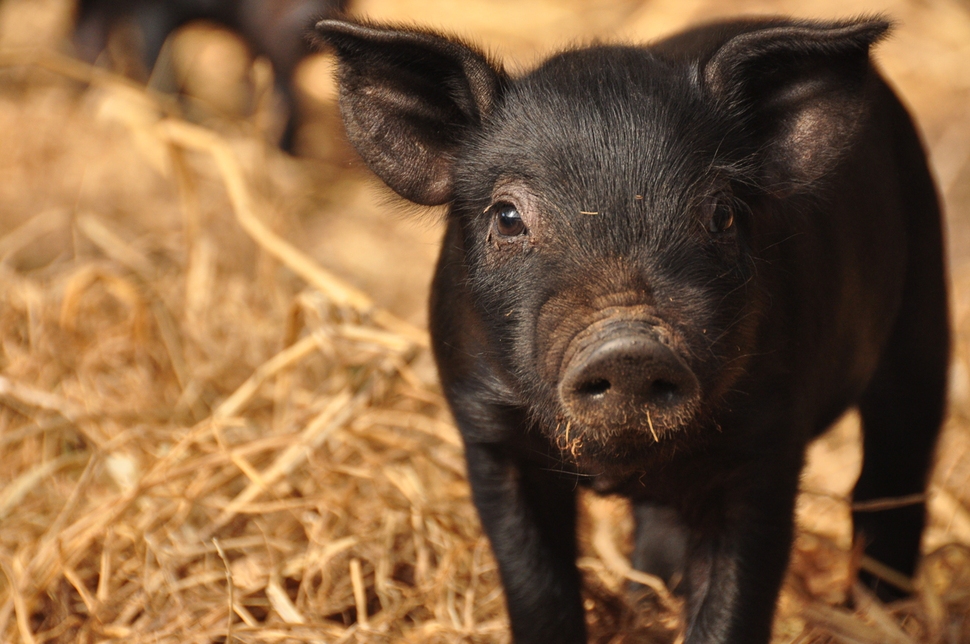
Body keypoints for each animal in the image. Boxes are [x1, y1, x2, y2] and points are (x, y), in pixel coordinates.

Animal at [316, 13, 944, 644]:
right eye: (508, 216)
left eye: (721, 214)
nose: (630, 348)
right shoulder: (486, 429)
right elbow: (537, 587)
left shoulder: (768, 436)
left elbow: (734, 602)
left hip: (923, 311)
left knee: (892, 475)